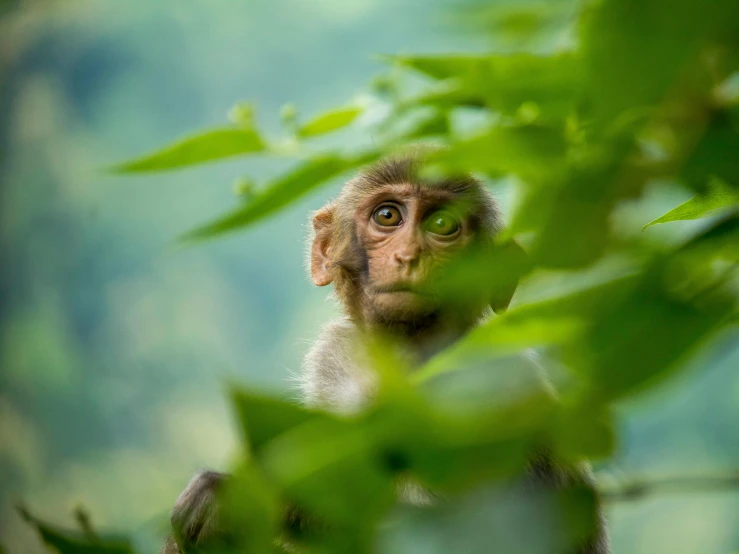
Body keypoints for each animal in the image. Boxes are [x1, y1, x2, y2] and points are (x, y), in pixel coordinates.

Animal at [163, 152, 612, 552]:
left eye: (443, 225)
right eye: (388, 216)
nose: (408, 256)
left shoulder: (497, 390)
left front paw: (239, 497)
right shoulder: (337, 354)